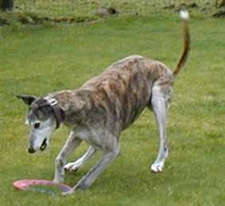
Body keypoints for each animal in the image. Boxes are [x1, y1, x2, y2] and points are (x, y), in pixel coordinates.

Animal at [17, 10, 190, 195]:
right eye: (28, 124)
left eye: (37, 124)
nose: (29, 150)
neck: (79, 103)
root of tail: (164, 67)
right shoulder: (76, 134)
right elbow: (59, 158)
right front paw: (57, 181)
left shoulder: (113, 150)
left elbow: (89, 176)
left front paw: (71, 193)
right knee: (94, 146)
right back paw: (76, 163)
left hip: (158, 101)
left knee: (164, 140)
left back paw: (158, 163)